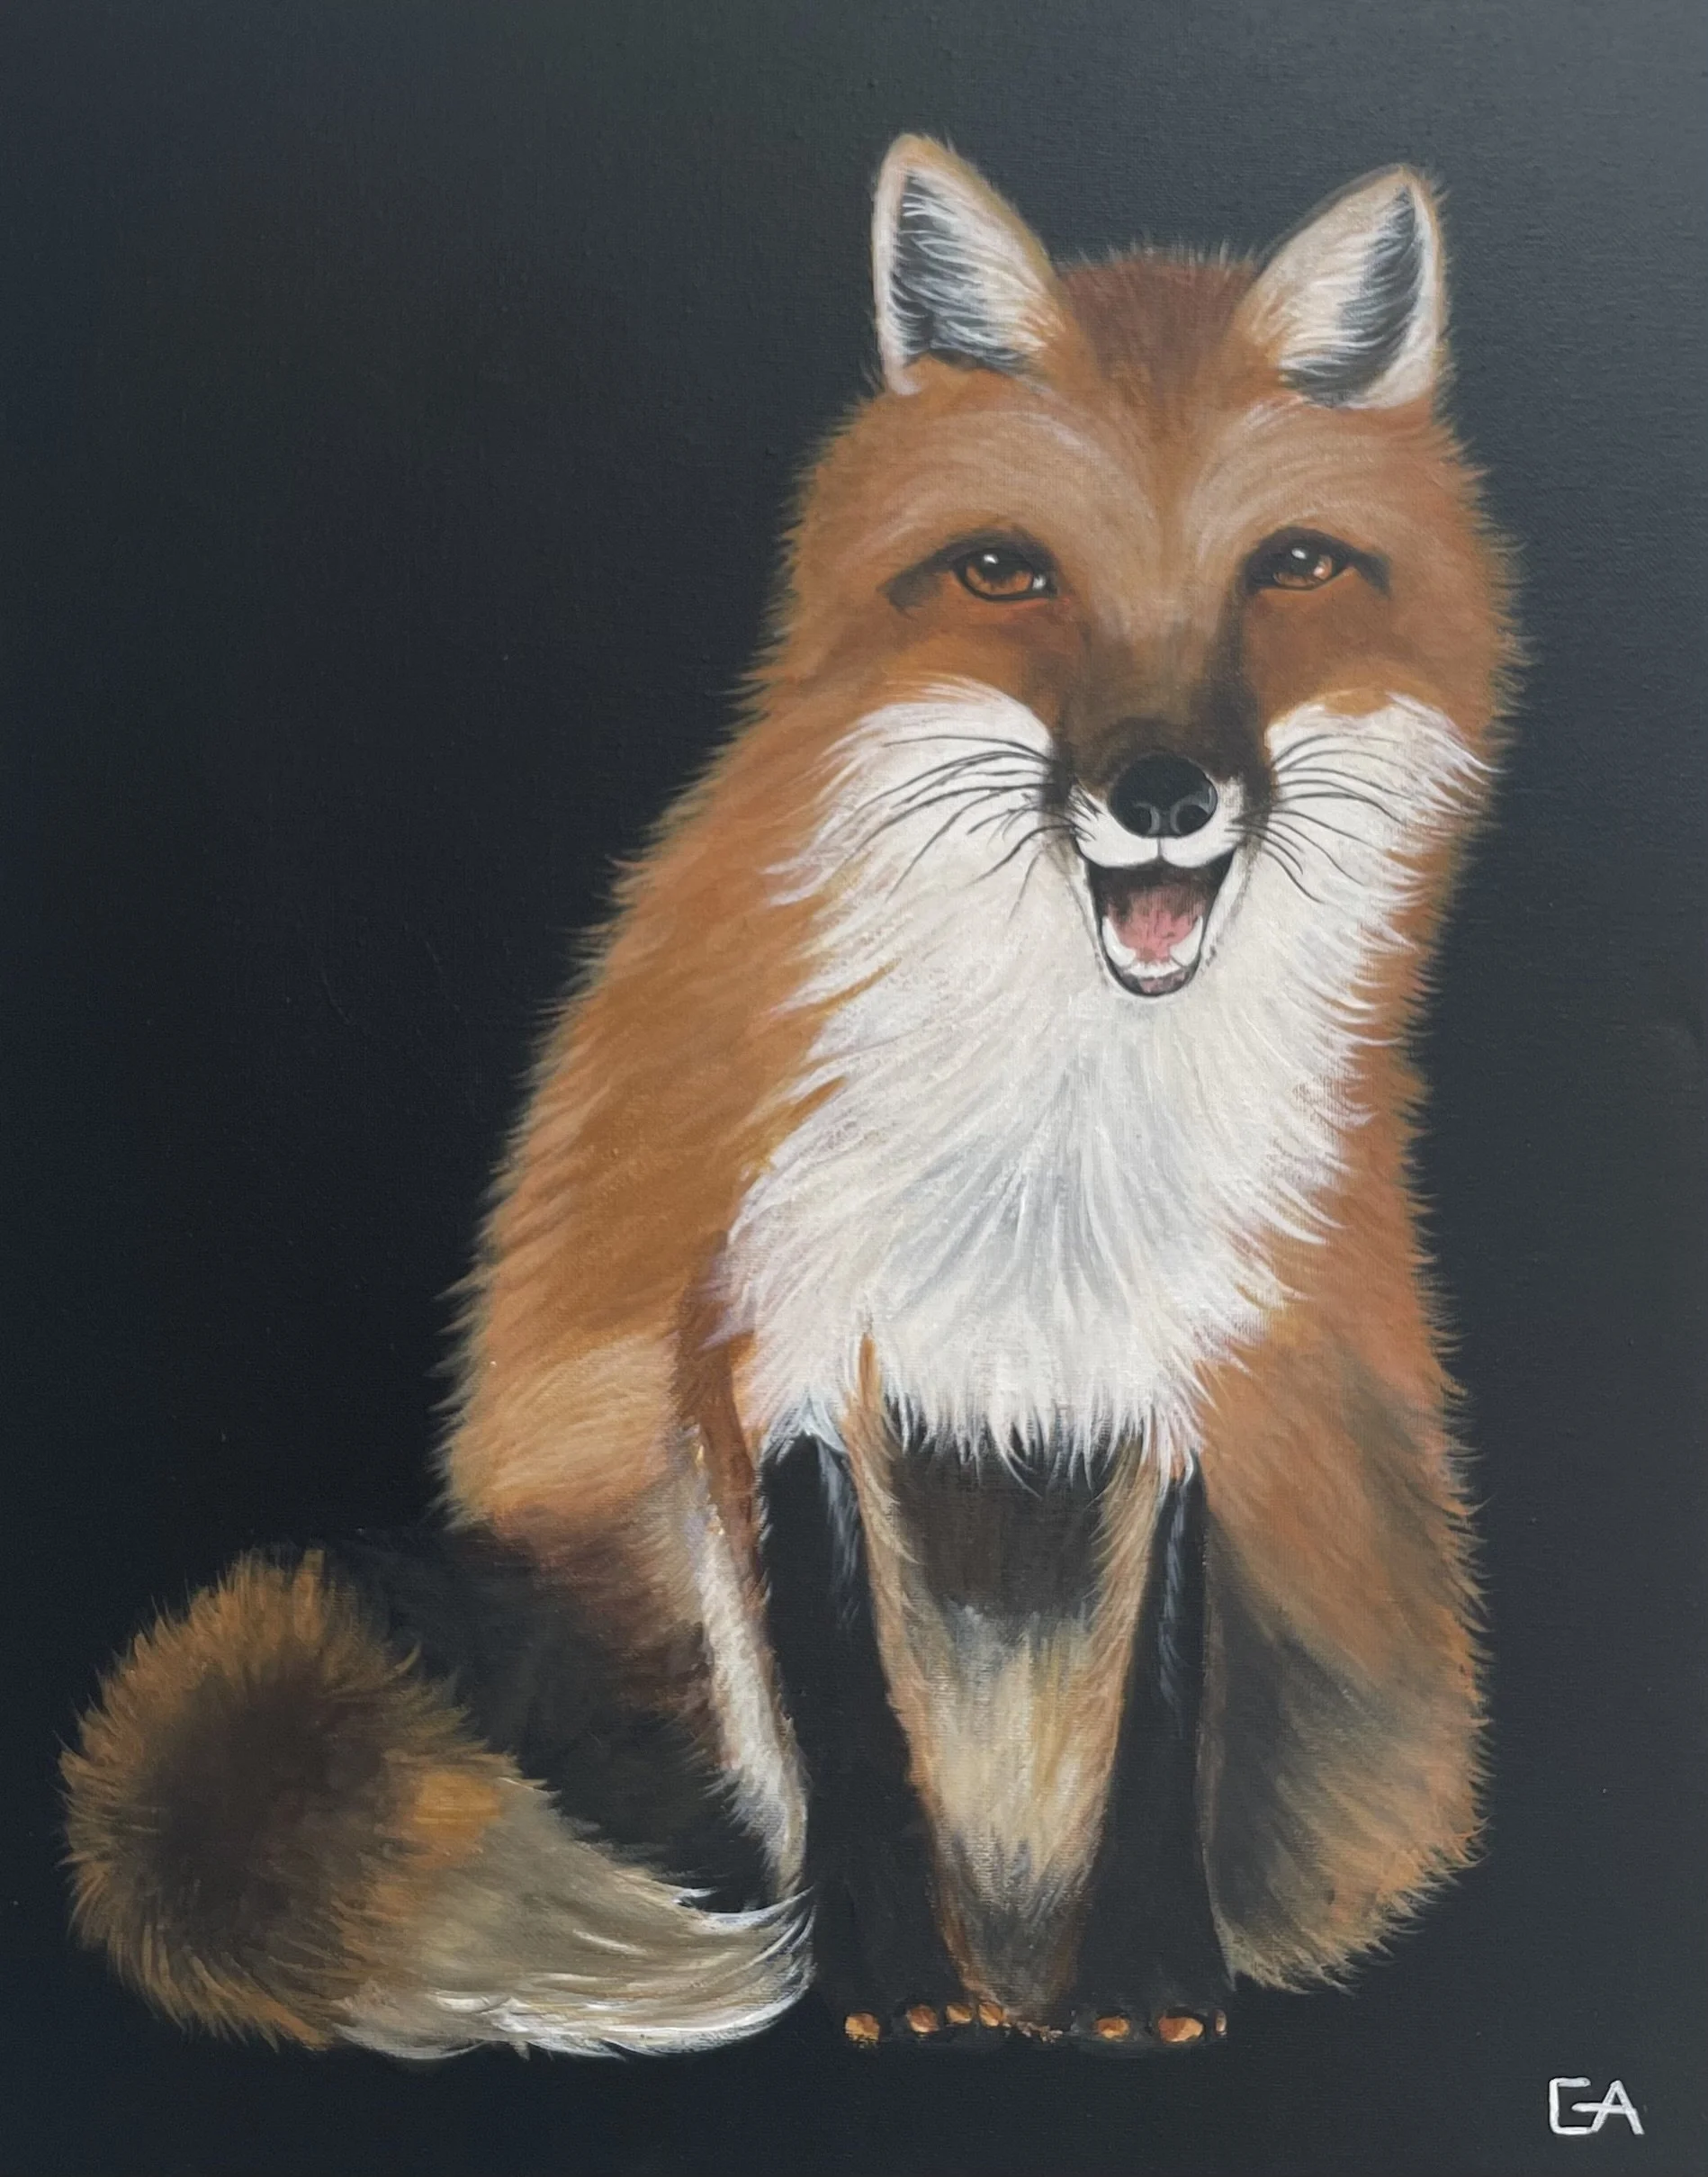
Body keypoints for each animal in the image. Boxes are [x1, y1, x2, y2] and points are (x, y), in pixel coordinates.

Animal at [64, 136, 1513, 2059]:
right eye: (1008, 570)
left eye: (1288, 567)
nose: (1160, 792)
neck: (1053, 1125)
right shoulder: (779, 1324)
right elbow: (839, 1697)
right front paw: (887, 1974)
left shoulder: (1203, 1363)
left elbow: (1165, 1681)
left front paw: (1148, 1974)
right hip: (632, 1478)